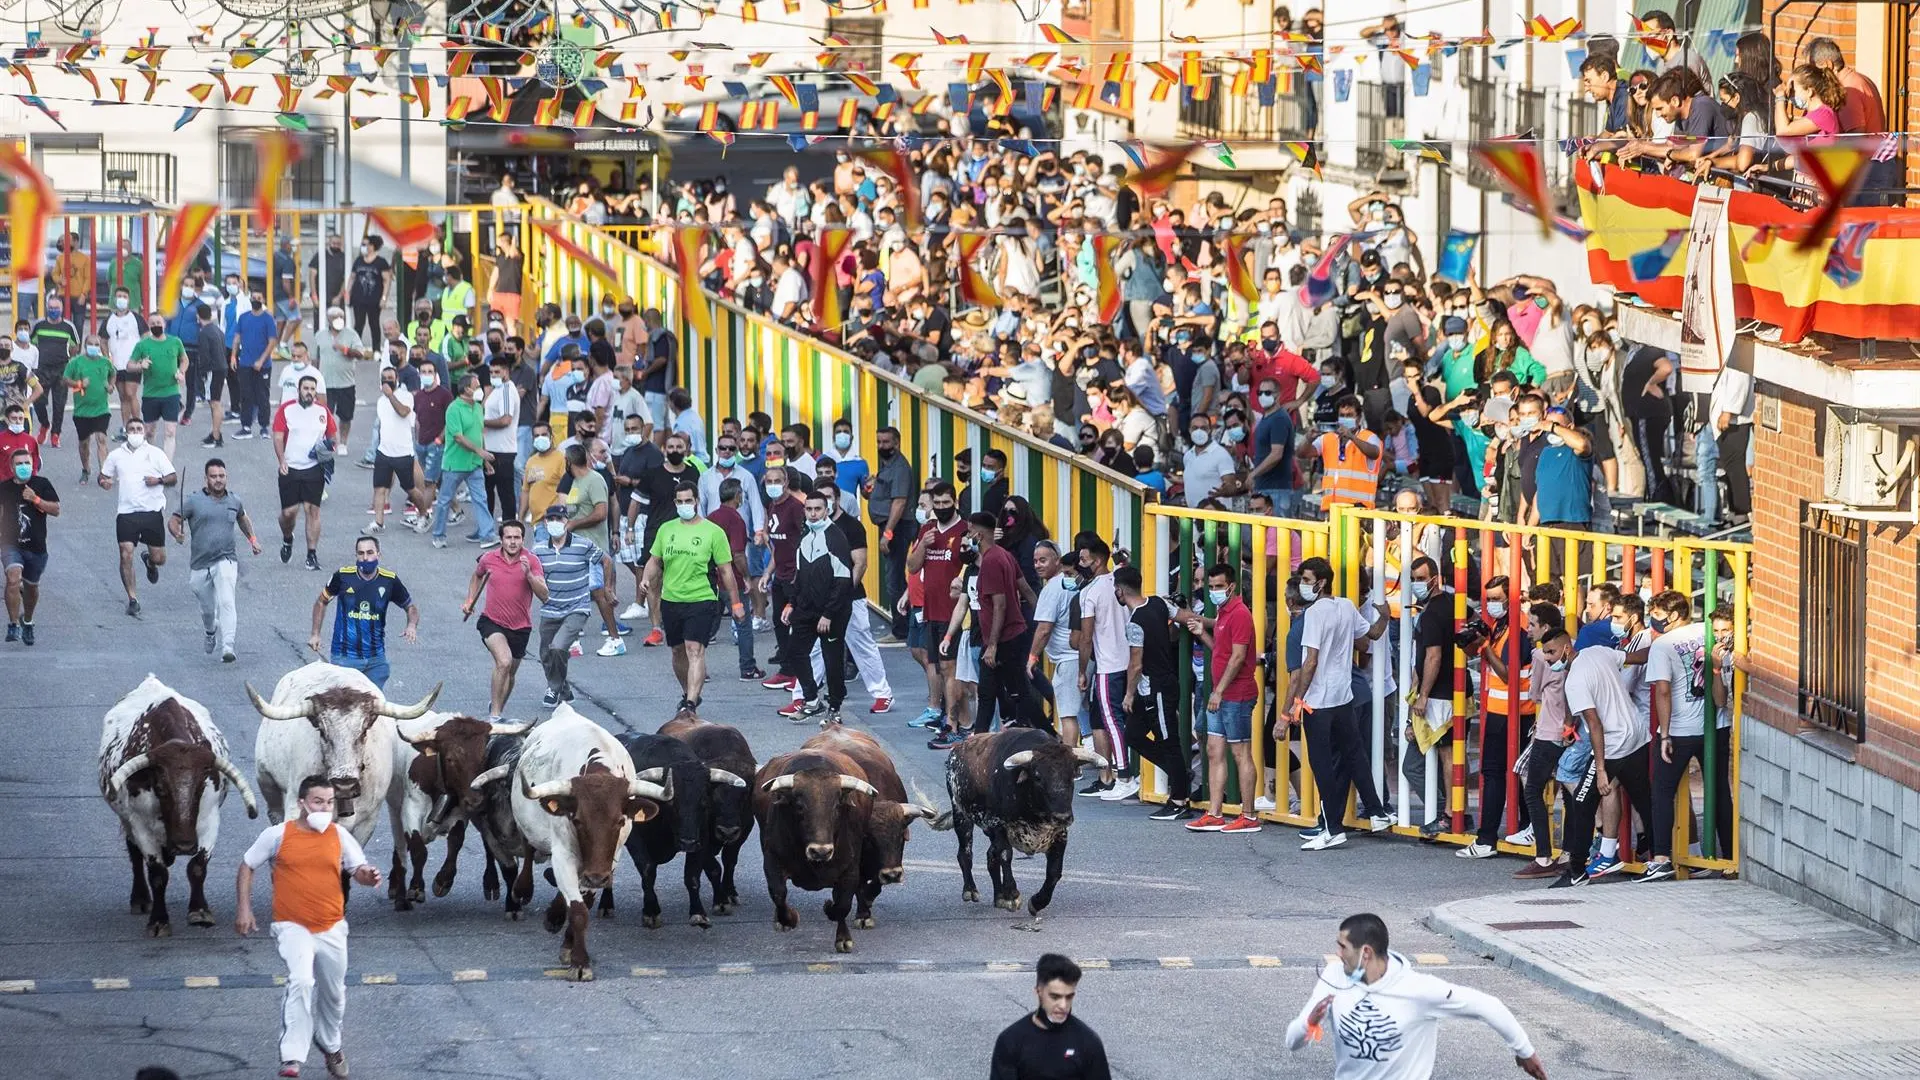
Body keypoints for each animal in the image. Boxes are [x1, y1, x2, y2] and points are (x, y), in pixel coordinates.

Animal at [98, 672, 257, 933]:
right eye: (161, 788)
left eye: (201, 786)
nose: (184, 845)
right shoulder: (140, 825)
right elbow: (157, 874)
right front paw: (158, 920)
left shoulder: (209, 821)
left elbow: (197, 867)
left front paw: (200, 911)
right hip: (126, 820)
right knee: (134, 854)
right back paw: (140, 899)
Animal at [510, 703, 668, 980]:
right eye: (577, 820)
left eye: (620, 821)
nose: (596, 877)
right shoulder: (564, 854)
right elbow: (578, 909)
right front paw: (580, 962)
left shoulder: (609, 860)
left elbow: (585, 900)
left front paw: (567, 944)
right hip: (529, 825)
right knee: (529, 849)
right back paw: (523, 889)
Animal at [752, 745, 879, 945]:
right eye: (799, 806)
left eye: (836, 807)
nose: (820, 851)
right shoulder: (772, 858)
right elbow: (778, 892)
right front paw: (787, 919)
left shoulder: (850, 869)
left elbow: (842, 904)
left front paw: (842, 936)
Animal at [933, 722, 1105, 914]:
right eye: (1037, 776)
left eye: (1071, 776)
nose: (1062, 816)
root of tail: (956, 751)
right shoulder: (999, 825)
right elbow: (1005, 856)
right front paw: (1012, 895)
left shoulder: (1060, 834)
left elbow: (1054, 871)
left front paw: (1038, 901)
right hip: (961, 815)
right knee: (965, 853)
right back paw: (971, 890)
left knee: (990, 856)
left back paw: (998, 896)